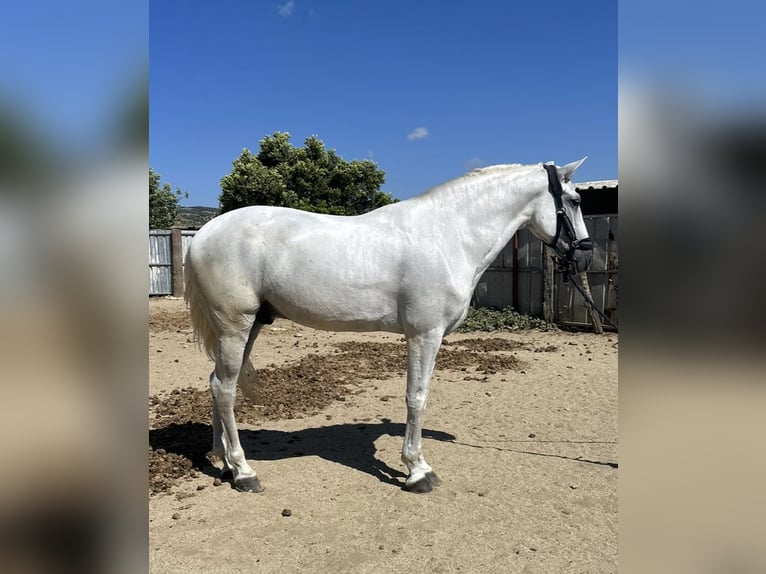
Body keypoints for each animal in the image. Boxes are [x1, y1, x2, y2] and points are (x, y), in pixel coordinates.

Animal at [184, 159, 593, 493]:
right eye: (574, 200)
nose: (587, 257)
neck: (446, 236)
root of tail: (202, 234)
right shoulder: (424, 335)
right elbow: (416, 397)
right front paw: (417, 471)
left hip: (249, 326)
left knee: (218, 383)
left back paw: (224, 463)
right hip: (235, 326)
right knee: (224, 389)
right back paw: (244, 472)